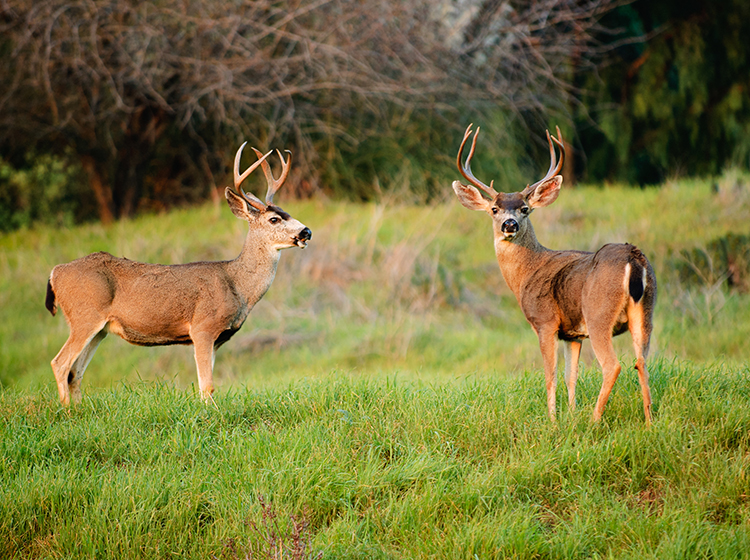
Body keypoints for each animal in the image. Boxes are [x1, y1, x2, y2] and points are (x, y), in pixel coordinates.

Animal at [45, 143, 312, 406]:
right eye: (274, 219)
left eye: (287, 213)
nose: (306, 232)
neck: (237, 285)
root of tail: (55, 272)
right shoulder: (203, 327)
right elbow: (207, 386)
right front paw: (209, 414)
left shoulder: (217, 339)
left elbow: (207, 385)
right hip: (85, 315)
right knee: (60, 363)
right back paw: (68, 411)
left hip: (99, 329)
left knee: (75, 372)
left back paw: (79, 410)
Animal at [451, 124, 656, 423]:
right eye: (494, 209)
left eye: (525, 209)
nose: (509, 224)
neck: (527, 273)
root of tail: (634, 258)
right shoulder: (572, 334)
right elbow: (572, 376)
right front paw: (570, 416)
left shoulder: (545, 321)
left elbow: (551, 376)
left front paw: (553, 421)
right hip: (646, 310)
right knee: (642, 361)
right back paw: (649, 422)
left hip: (598, 313)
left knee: (613, 365)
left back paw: (594, 421)